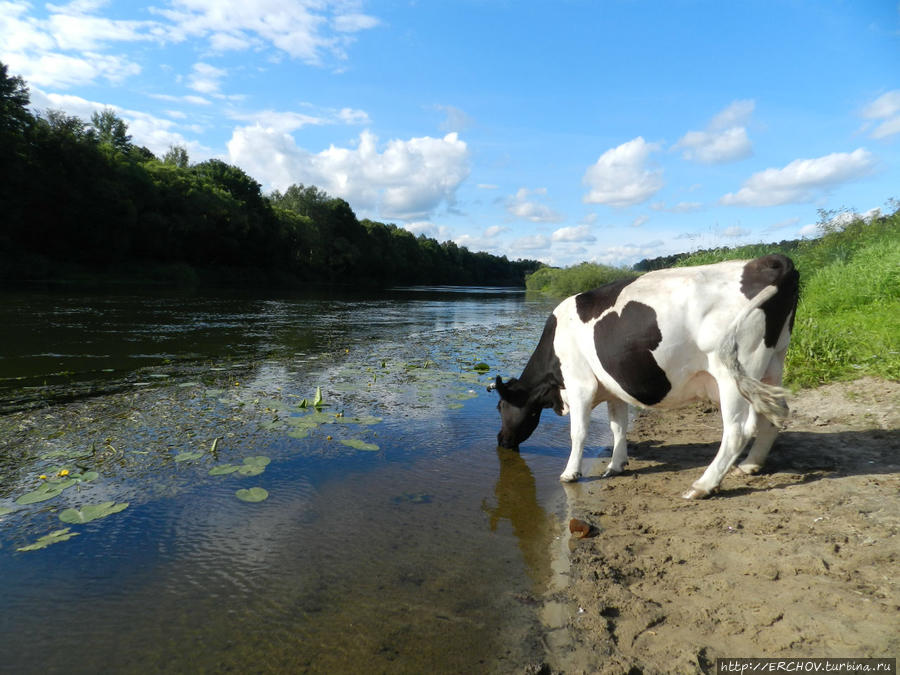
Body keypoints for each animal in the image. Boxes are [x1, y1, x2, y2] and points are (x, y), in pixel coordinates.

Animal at [492, 256, 800, 500]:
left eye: (501, 407)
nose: (500, 440)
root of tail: (769, 260)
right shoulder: (612, 388)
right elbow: (618, 427)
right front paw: (615, 465)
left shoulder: (580, 384)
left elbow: (578, 432)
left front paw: (570, 473)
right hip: (772, 362)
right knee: (776, 412)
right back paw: (751, 464)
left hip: (732, 372)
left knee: (737, 430)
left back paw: (702, 485)